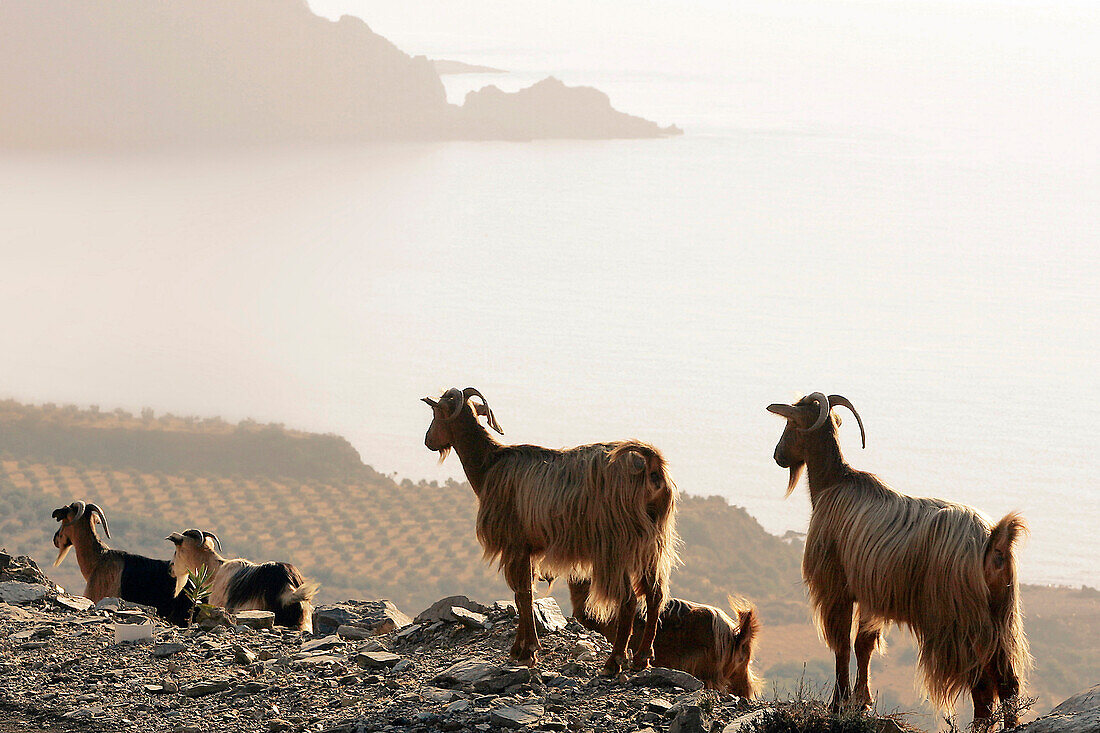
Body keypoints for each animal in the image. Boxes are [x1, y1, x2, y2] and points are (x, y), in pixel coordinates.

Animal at [422, 385, 673, 677]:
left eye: (436, 413)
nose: (428, 440)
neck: (490, 464)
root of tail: (651, 465)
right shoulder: (528, 549)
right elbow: (523, 595)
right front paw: (523, 649)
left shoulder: (515, 544)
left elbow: (523, 594)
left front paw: (525, 652)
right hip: (653, 544)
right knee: (655, 595)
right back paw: (642, 658)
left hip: (615, 544)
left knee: (630, 600)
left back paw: (614, 662)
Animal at [765, 391, 1029, 721]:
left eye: (790, 424)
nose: (778, 455)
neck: (834, 483)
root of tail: (995, 540)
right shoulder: (871, 595)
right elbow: (863, 645)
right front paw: (862, 701)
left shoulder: (837, 586)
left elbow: (842, 645)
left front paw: (838, 703)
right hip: (1000, 617)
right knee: (1007, 682)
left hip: (960, 623)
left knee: (981, 686)